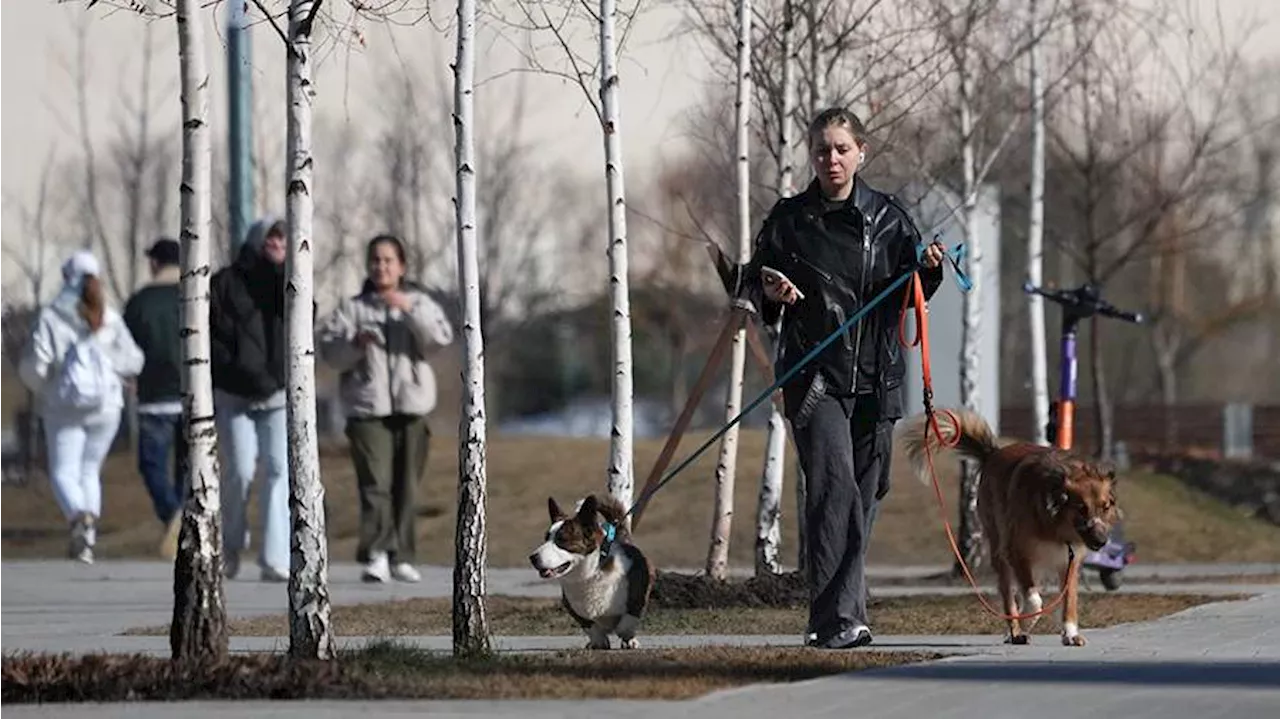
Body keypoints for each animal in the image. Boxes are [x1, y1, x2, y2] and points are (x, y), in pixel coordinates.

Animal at [901, 406, 1121, 647]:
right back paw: (1015, 630)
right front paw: (1025, 623)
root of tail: (993, 454)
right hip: (1000, 551)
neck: (1054, 524)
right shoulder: (1017, 553)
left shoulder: (1069, 561)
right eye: (1081, 508)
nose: (1102, 542)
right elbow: (1034, 600)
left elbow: (1068, 601)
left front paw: (1070, 633)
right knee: (1010, 595)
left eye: (1105, 507)